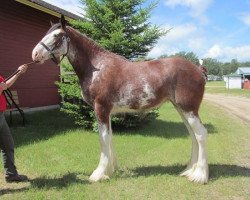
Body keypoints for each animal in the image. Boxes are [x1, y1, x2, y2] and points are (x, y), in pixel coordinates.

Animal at [32, 15, 210, 184]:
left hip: (189, 109)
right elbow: (110, 137)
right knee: (193, 135)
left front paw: (98, 174)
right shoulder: (108, 112)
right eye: (46, 32)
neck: (98, 67)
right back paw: (189, 170)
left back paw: (200, 176)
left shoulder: (101, 109)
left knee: (201, 134)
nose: (35, 54)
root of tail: (198, 69)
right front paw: (110, 170)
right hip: (181, 108)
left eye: (57, 35)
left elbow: (103, 139)